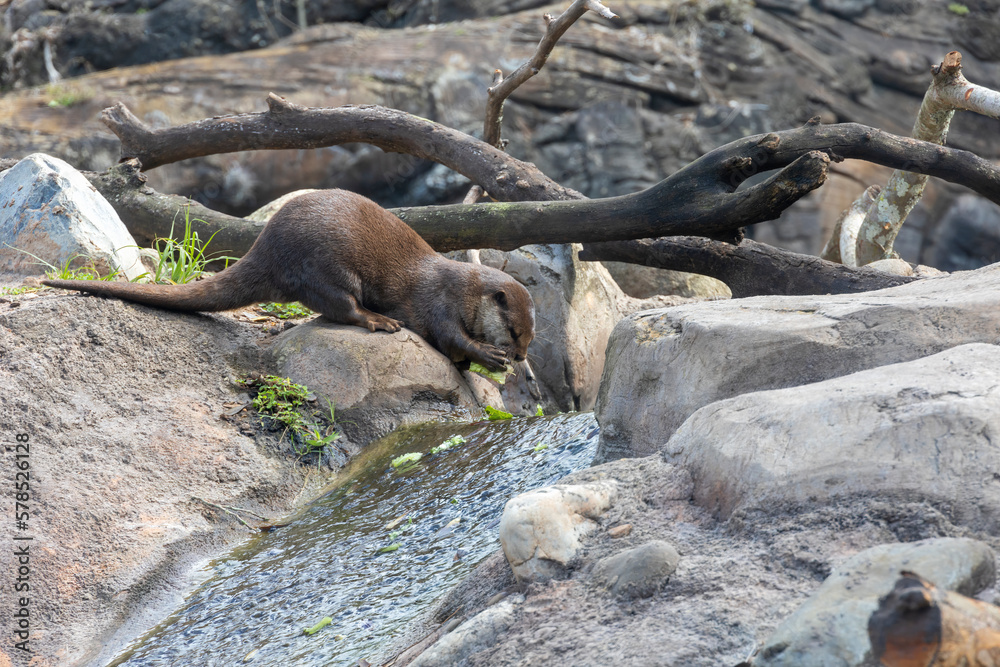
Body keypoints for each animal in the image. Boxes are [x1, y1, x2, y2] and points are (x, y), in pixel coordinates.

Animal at [43, 190, 534, 370]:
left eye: (531, 336)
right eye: (513, 331)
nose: (522, 355)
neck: (465, 291)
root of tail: (266, 246)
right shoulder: (439, 301)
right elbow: (449, 338)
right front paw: (488, 355)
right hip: (325, 268)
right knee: (341, 308)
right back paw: (379, 321)